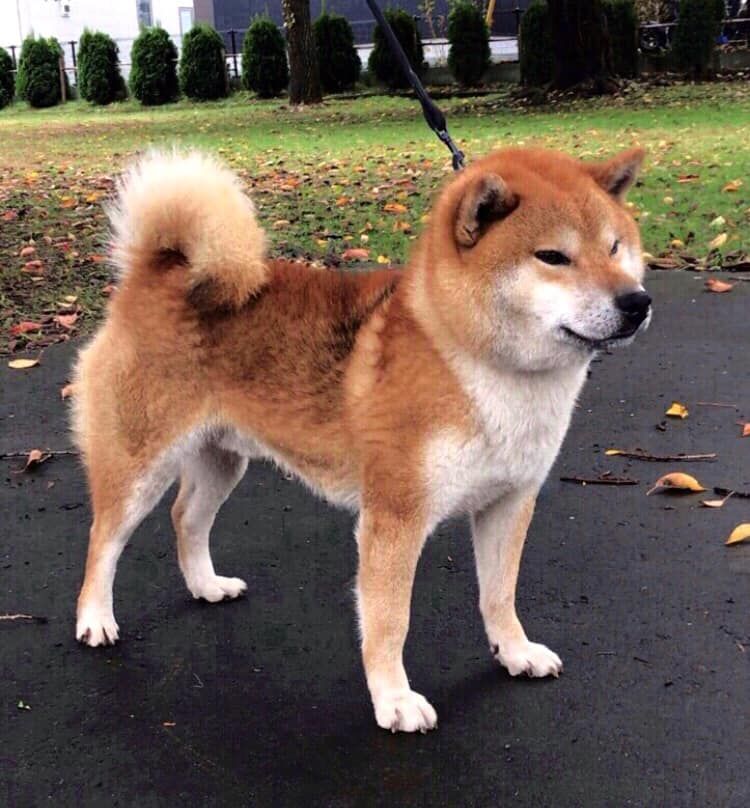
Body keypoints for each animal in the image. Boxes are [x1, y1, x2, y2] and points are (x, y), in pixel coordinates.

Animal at [73, 146, 651, 733]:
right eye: (553, 257)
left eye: (614, 246)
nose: (637, 302)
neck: (473, 362)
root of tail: (157, 270)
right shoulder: (395, 517)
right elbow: (391, 619)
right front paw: (394, 699)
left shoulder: (508, 503)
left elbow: (499, 594)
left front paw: (514, 652)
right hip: (139, 464)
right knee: (103, 539)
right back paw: (95, 619)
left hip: (222, 461)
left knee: (185, 517)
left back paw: (206, 586)